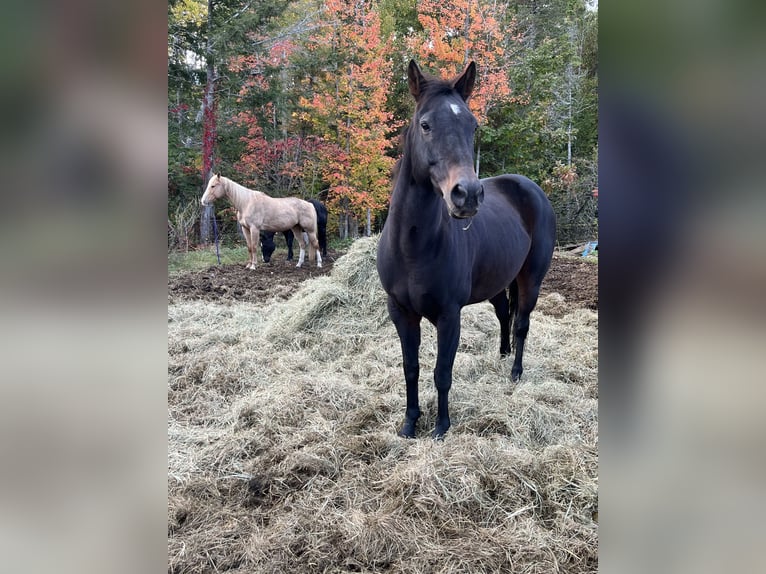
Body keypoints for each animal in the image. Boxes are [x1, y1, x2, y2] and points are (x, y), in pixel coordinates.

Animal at [378, 62, 560, 440]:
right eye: (425, 124)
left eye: (472, 125)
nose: (468, 194)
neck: (412, 249)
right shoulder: (400, 312)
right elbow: (411, 367)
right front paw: (409, 423)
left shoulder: (450, 315)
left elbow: (442, 372)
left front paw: (441, 427)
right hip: (497, 282)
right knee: (504, 314)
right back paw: (502, 355)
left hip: (531, 279)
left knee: (521, 323)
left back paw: (515, 372)